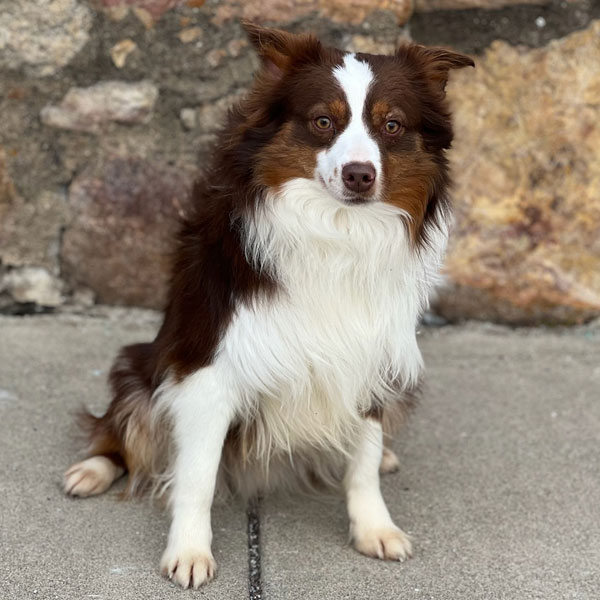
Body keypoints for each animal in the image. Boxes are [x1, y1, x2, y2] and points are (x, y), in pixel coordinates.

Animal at [64, 23, 474, 592]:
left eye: (392, 125)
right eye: (323, 121)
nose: (360, 175)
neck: (337, 233)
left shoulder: (374, 354)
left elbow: (363, 459)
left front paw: (374, 527)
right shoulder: (209, 367)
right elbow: (196, 473)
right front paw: (188, 551)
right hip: (138, 363)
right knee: (122, 426)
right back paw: (92, 469)